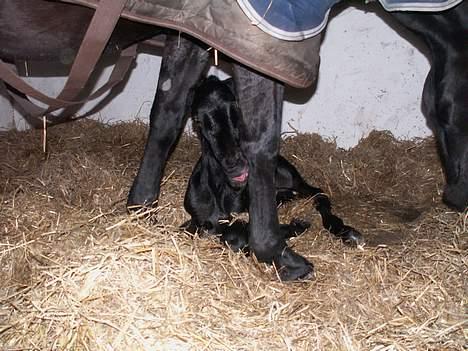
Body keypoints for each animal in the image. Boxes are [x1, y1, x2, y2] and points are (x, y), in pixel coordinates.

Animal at [184, 76, 362, 253]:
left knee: (318, 193)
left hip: (290, 178)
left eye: (237, 108)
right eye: (198, 120)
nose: (235, 167)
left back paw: (347, 232)